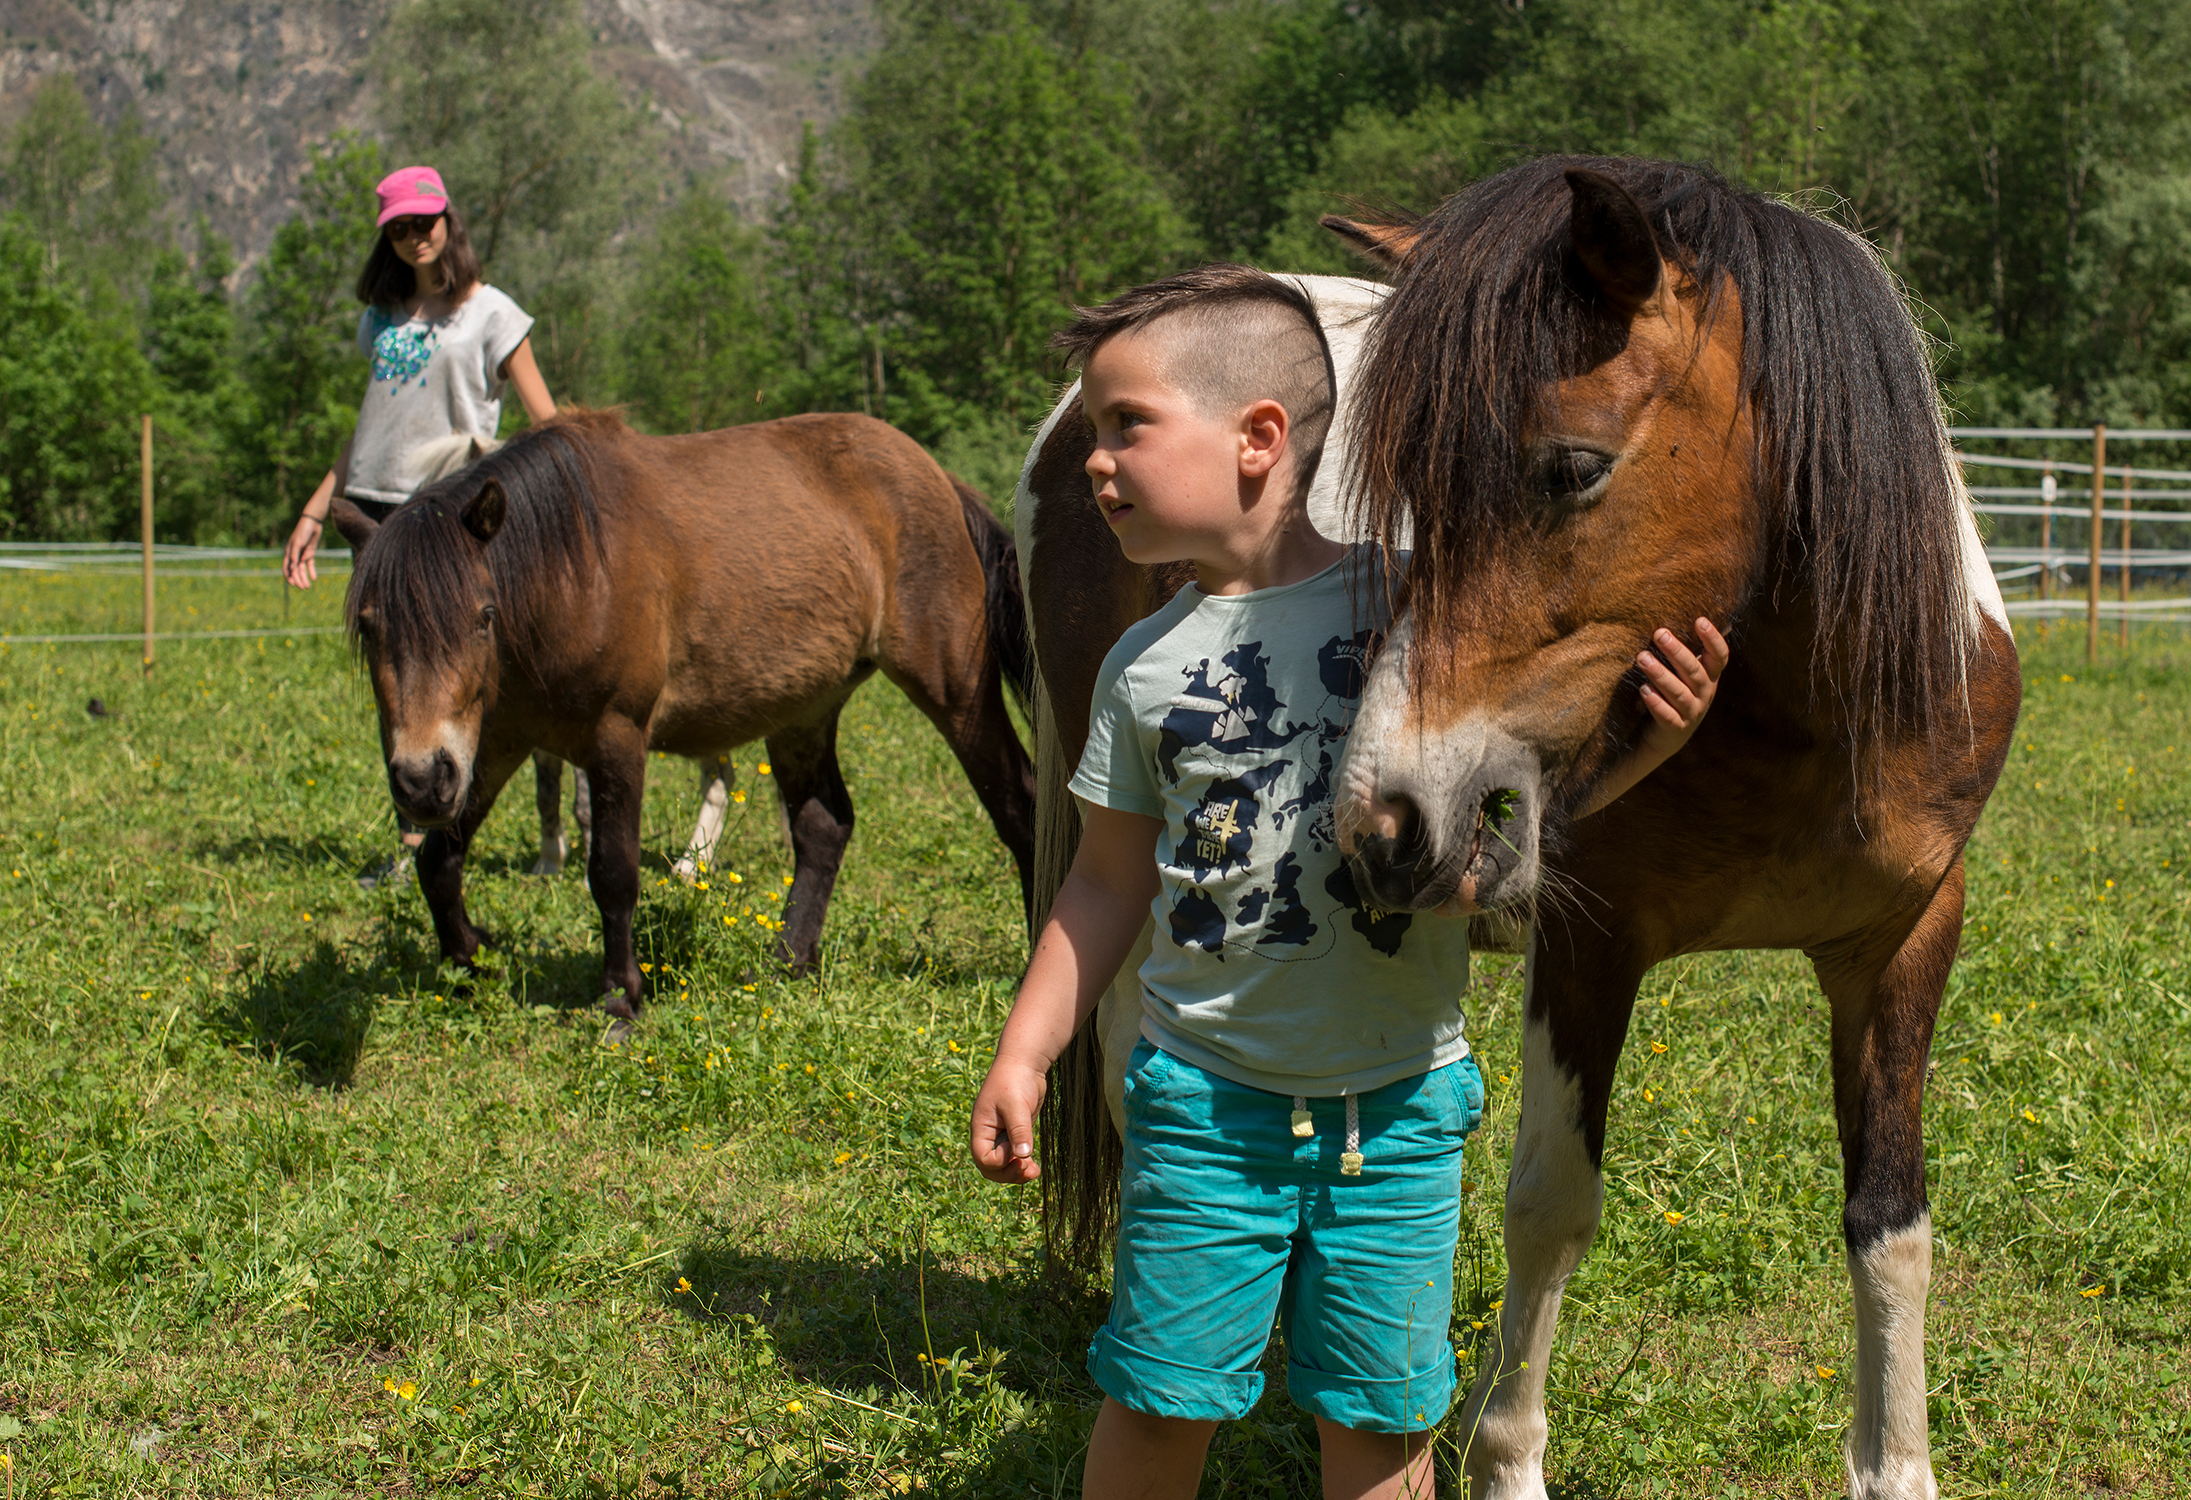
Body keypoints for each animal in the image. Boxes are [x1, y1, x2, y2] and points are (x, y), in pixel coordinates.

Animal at [333, 407, 1034, 1016]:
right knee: (823, 826)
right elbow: (438, 859)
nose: (420, 780)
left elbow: (613, 872)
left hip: (954, 686)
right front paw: (468, 957)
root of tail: (937, 476)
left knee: (1018, 802)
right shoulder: (495, 744)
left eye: (482, 615)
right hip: (803, 710)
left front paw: (621, 996)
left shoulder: (615, 737)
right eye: (370, 627)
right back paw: (786, 960)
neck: (571, 574)